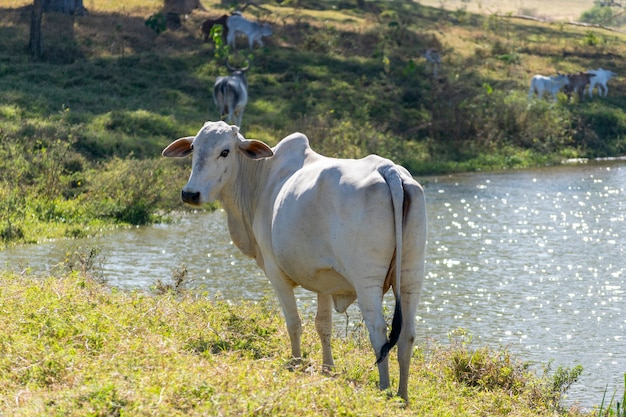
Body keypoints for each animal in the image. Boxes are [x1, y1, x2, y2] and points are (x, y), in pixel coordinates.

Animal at [161, 120, 426, 400]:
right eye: (193, 148)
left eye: (225, 151)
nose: (190, 194)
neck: (260, 180)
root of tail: (389, 170)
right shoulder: (324, 279)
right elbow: (323, 325)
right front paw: (327, 368)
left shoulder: (275, 272)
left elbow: (294, 322)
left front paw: (296, 363)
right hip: (411, 276)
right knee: (407, 335)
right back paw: (402, 395)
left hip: (367, 282)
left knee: (378, 331)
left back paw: (384, 388)